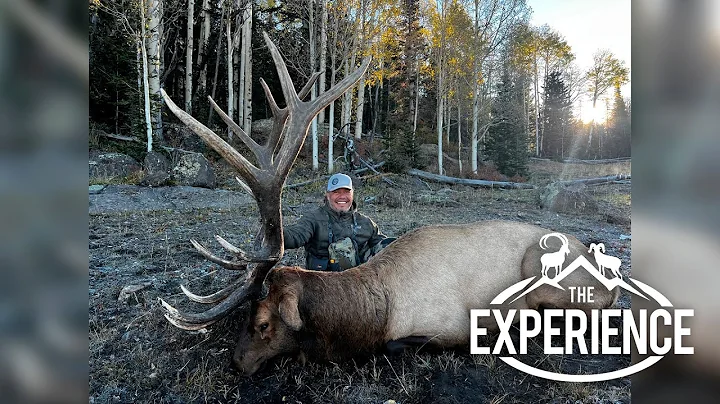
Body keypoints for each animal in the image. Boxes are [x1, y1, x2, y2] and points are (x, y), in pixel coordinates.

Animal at [158, 33, 620, 376]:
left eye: (263, 322)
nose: (236, 363)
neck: (376, 313)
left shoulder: (449, 327)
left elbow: (400, 345)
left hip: (543, 271)